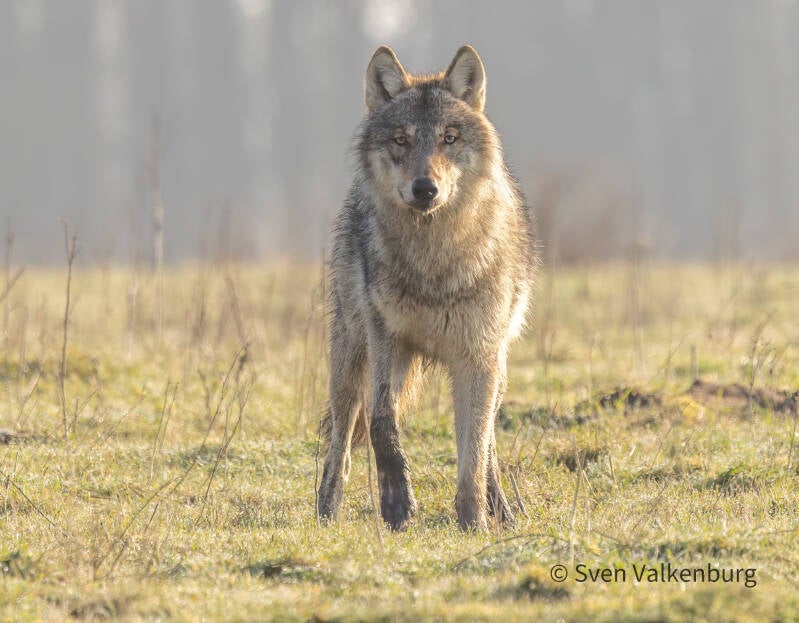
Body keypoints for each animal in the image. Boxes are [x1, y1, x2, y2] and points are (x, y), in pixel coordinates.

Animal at [317, 44, 537, 531]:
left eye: (449, 138)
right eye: (401, 140)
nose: (425, 188)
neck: (433, 265)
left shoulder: (477, 359)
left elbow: (473, 454)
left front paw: (474, 521)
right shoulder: (387, 340)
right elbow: (382, 422)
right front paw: (397, 503)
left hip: (497, 368)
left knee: (489, 443)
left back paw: (502, 511)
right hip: (350, 359)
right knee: (341, 440)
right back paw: (326, 509)